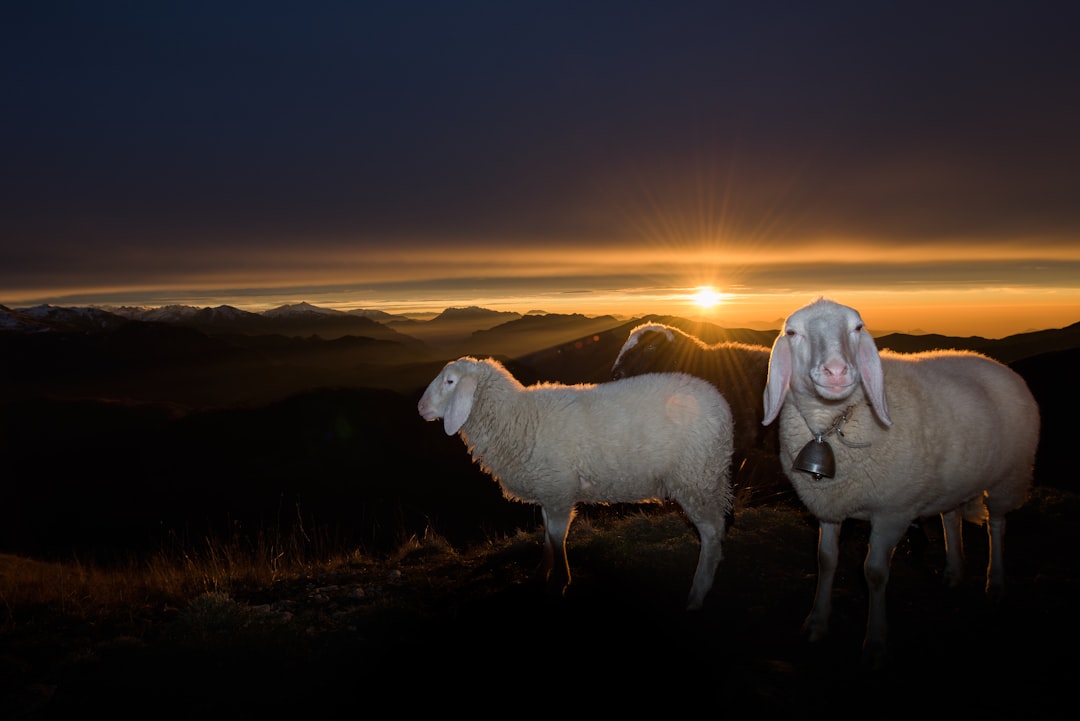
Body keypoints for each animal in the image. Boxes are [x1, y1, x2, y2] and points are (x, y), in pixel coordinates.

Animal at [416, 354, 738, 608]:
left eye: (450, 381)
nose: (420, 408)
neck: (518, 418)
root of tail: (722, 407)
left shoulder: (559, 492)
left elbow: (558, 537)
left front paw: (559, 582)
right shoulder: (548, 490)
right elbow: (547, 534)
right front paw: (543, 571)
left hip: (696, 478)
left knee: (711, 534)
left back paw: (697, 592)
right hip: (705, 478)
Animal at [756, 297, 1041, 669]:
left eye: (857, 328)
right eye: (792, 333)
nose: (837, 371)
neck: (832, 424)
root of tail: (994, 363)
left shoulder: (892, 512)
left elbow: (875, 573)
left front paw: (876, 642)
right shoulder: (829, 504)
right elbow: (825, 560)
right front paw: (817, 622)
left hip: (1010, 475)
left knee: (997, 524)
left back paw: (995, 584)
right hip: (952, 481)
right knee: (951, 517)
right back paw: (954, 571)